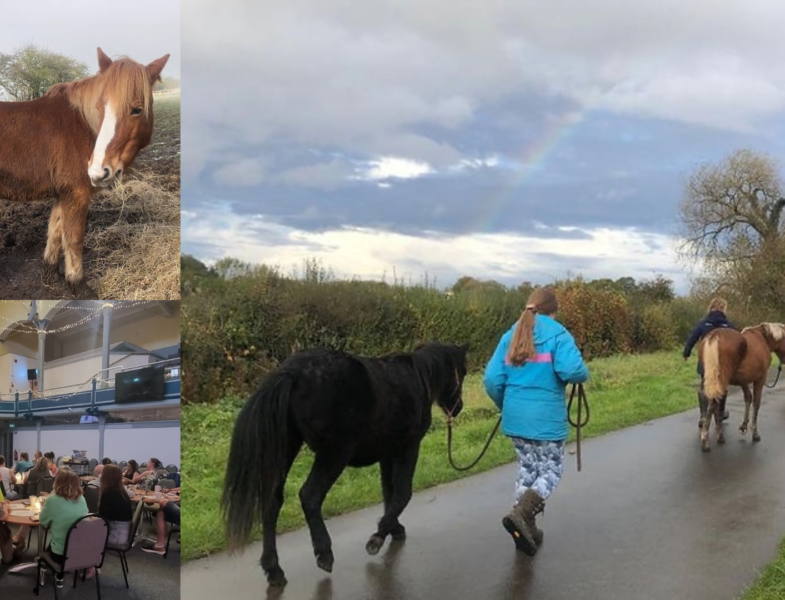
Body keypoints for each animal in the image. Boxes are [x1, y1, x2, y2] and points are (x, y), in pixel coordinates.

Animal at [0, 47, 170, 298]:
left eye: (137, 110)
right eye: (99, 108)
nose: (98, 171)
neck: (81, 124)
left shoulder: (62, 195)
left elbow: (55, 232)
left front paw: (52, 277)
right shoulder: (77, 194)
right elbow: (74, 239)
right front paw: (79, 286)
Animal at [220, 342, 466, 584]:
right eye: (462, 373)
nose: (458, 407)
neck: (418, 377)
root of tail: (292, 372)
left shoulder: (387, 454)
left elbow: (389, 492)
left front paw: (393, 529)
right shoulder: (408, 448)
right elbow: (403, 493)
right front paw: (377, 538)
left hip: (288, 450)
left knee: (272, 503)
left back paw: (274, 570)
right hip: (334, 455)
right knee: (310, 496)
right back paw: (324, 553)